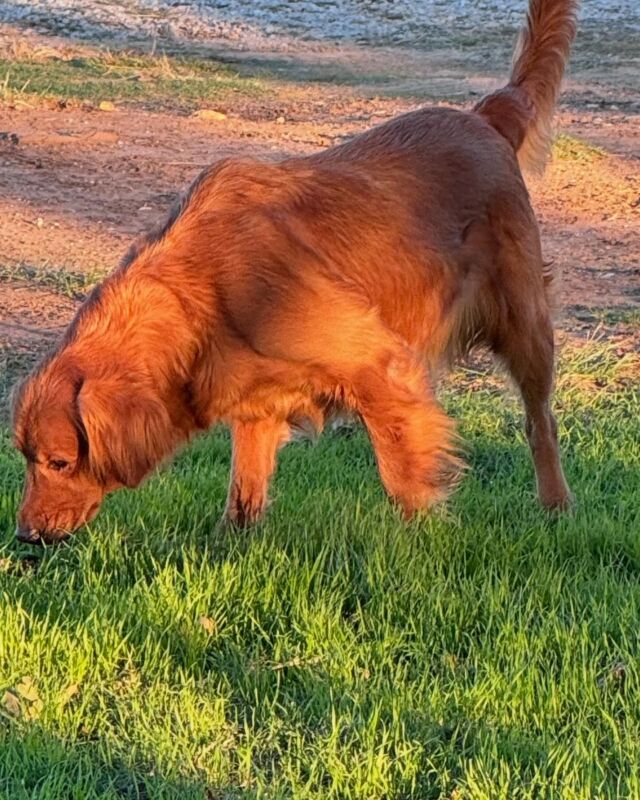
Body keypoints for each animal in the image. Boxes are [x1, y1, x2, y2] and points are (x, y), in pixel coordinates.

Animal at [13, 1, 576, 544]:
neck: (201, 293)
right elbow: (243, 493)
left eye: (59, 462)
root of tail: (486, 115)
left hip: (524, 323)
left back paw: (556, 507)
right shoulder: (254, 401)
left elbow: (403, 475)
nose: (25, 535)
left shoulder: (381, 367)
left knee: (540, 420)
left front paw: (422, 545)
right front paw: (229, 547)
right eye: (25, 458)